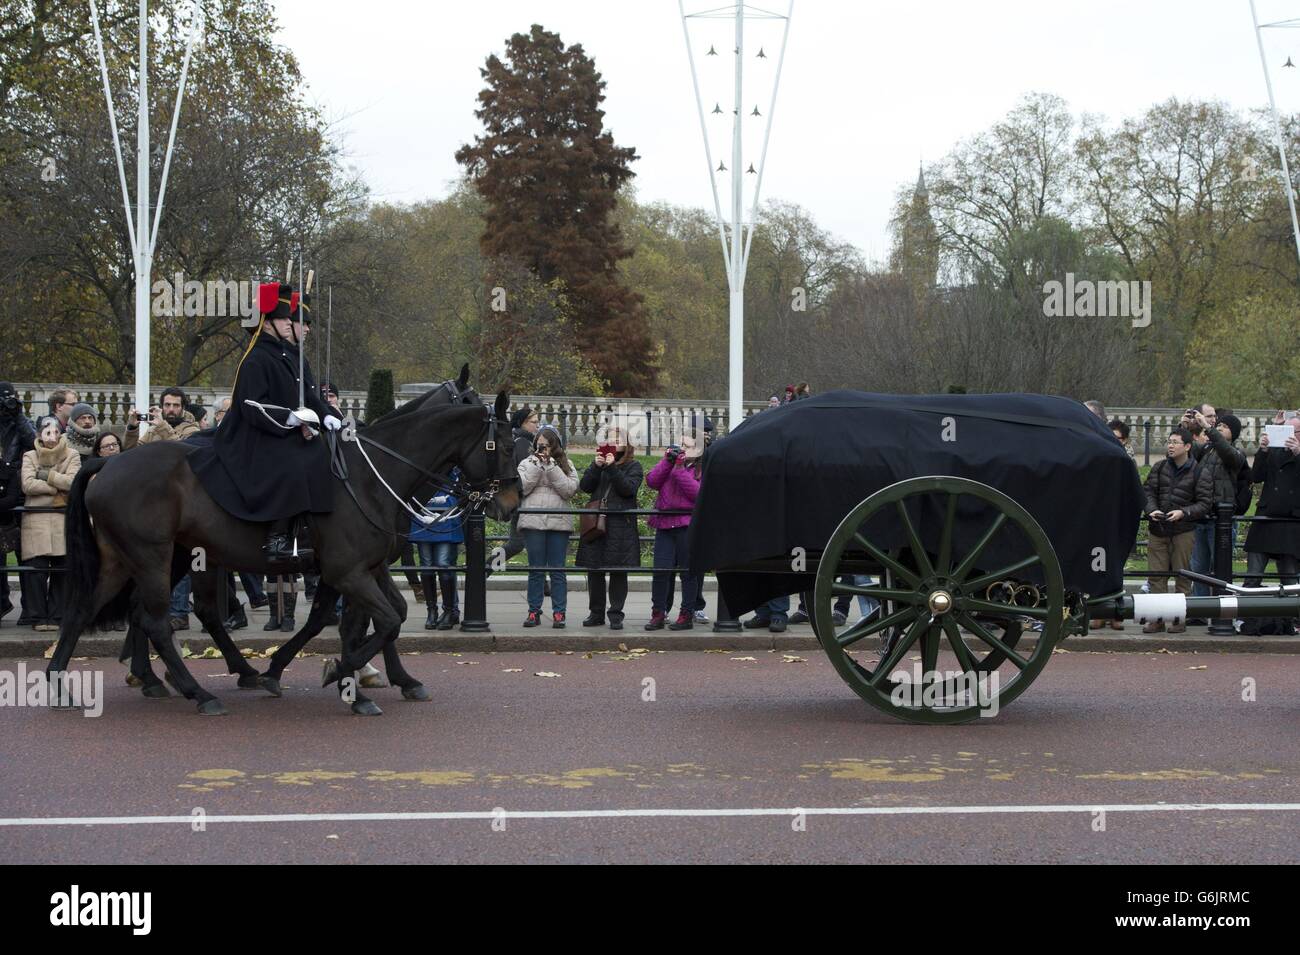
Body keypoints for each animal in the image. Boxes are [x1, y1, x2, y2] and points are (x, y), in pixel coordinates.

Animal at [49, 392, 517, 712]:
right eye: (507, 446)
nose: (509, 504)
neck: (372, 477)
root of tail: (109, 462)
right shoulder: (347, 571)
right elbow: (377, 621)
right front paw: (339, 674)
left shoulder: (367, 568)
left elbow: (380, 618)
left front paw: (368, 679)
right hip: (154, 556)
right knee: (158, 620)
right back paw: (198, 691)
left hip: (131, 557)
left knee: (87, 609)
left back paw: (67, 683)